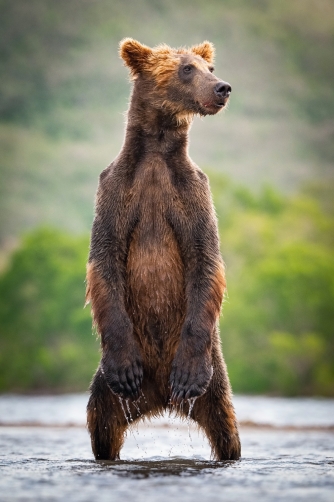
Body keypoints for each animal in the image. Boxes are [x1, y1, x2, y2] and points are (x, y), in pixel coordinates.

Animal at [87, 37, 240, 460]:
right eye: (187, 69)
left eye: (209, 67)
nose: (222, 87)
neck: (156, 152)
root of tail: (160, 397)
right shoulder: (117, 190)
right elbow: (103, 261)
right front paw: (126, 370)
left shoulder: (191, 193)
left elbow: (206, 260)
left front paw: (187, 375)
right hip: (107, 387)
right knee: (101, 423)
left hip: (215, 380)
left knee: (227, 429)